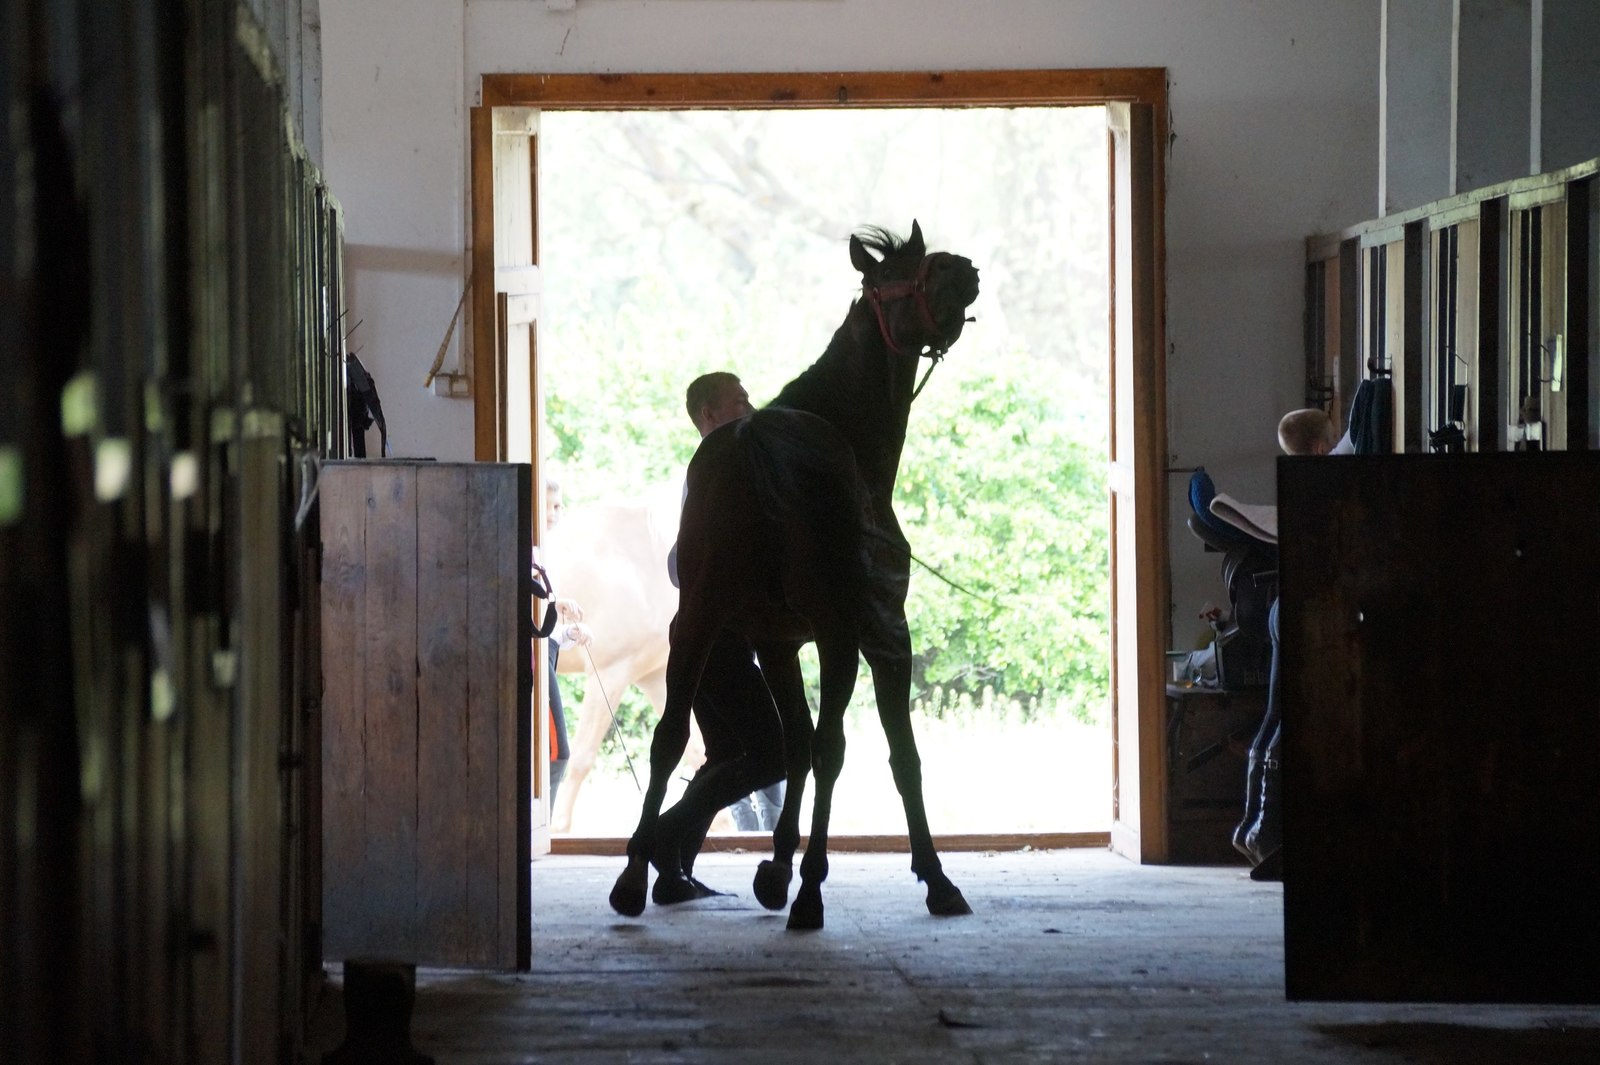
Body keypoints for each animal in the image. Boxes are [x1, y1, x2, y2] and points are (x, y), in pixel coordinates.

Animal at [611, 219, 979, 927]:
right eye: (902, 274)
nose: (966, 268)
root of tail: (755, 446)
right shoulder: (884, 634)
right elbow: (897, 754)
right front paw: (934, 876)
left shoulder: (777, 641)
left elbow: (797, 743)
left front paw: (774, 869)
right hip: (837, 635)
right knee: (832, 748)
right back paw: (810, 894)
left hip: (698, 622)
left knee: (672, 738)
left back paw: (637, 875)